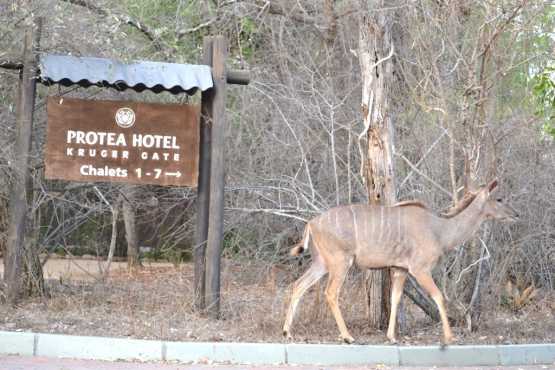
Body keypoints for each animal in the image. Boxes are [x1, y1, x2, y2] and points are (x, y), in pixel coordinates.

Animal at [284, 179, 520, 344]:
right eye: (499, 198)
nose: (516, 214)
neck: (439, 230)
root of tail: (311, 223)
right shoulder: (420, 269)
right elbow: (438, 296)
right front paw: (449, 337)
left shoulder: (400, 269)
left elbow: (396, 298)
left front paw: (392, 337)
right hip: (340, 262)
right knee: (330, 292)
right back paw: (347, 336)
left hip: (322, 263)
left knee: (298, 285)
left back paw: (287, 332)